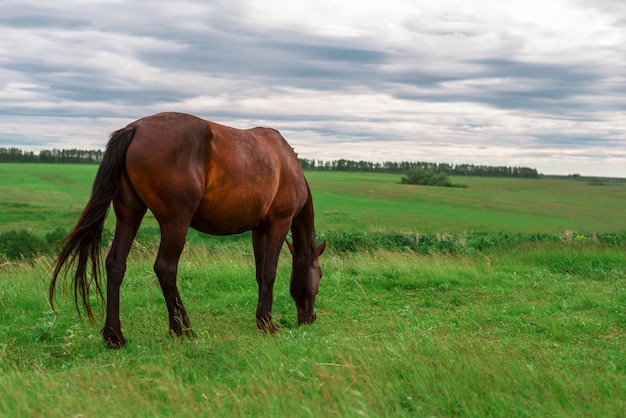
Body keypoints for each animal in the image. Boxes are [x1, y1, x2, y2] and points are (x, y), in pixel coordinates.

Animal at [48, 112, 326, 348]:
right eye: (320, 275)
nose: (310, 318)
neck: (287, 163)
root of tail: (134, 129)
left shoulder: (258, 230)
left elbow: (259, 274)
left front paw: (260, 319)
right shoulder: (279, 223)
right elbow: (269, 273)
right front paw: (267, 323)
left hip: (129, 216)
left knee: (116, 264)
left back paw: (115, 336)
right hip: (175, 223)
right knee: (165, 268)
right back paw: (183, 330)